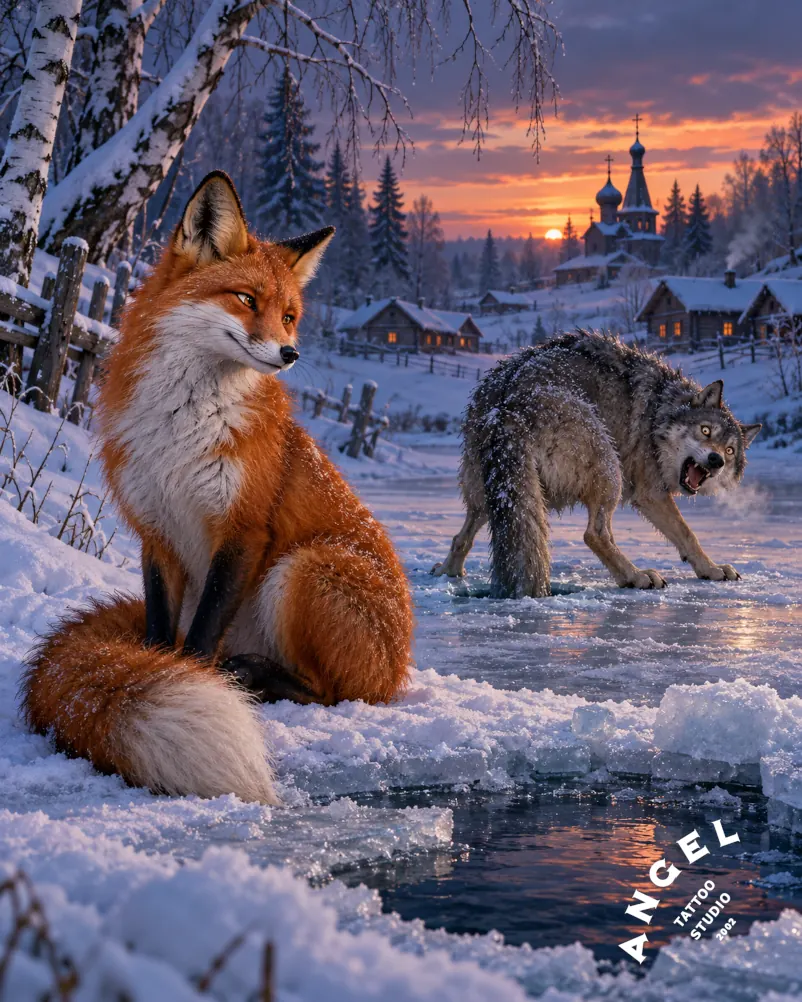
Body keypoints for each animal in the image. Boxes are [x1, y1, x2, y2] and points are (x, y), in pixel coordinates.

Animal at [21, 171, 413, 805]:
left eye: (290, 315)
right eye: (247, 300)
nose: (290, 353)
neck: (182, 431)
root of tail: (400, 666)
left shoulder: (244, 532)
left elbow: (202, 638)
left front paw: (199, 679)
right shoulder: (156, 532)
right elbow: (161, 638)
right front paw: (162, 673)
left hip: (305, 567)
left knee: (334, 692)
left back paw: (251, 677)